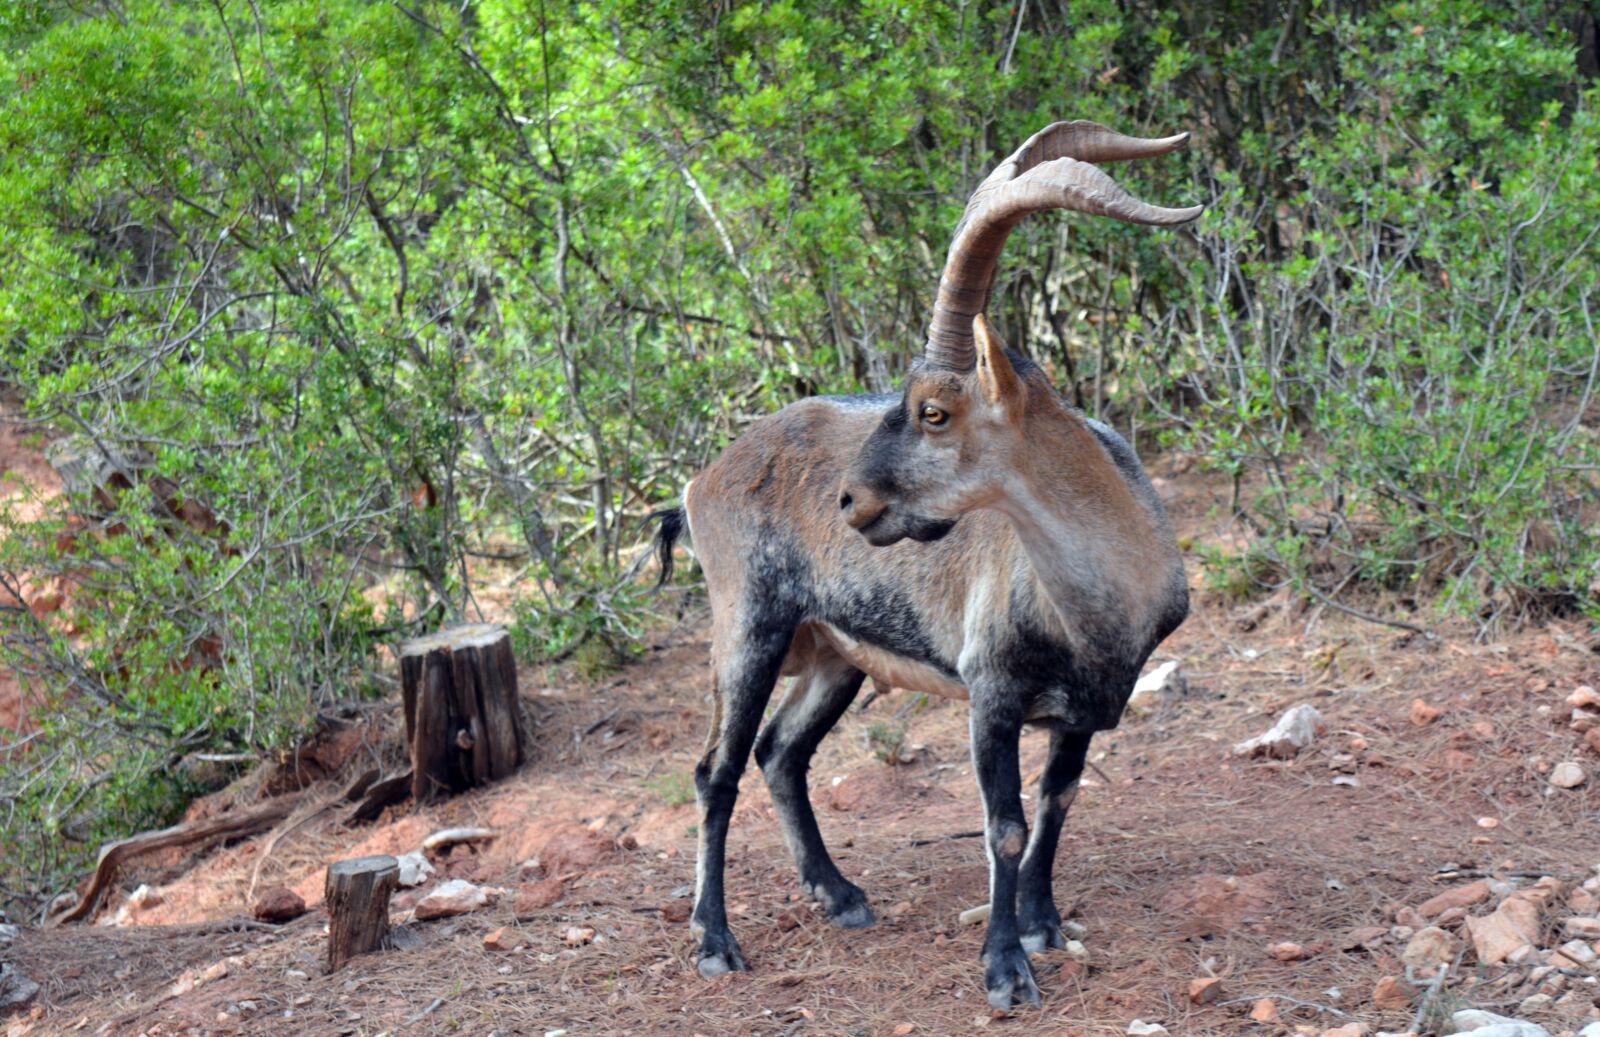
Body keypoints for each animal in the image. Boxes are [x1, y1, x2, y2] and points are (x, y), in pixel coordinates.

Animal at [650, 120, 1202, 1010]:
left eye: (933, 411)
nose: (850, 500)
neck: (1103, 590)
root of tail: (699, 483)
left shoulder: (1083, 708)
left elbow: (1058, 802)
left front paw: (1044, 923)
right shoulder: (992, 693)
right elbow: (1004, 825)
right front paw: (1005, 968)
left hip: (835, 655)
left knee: (781, 751)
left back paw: (840, 894)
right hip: (749, 627)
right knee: (716, 769)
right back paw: (714, 940)